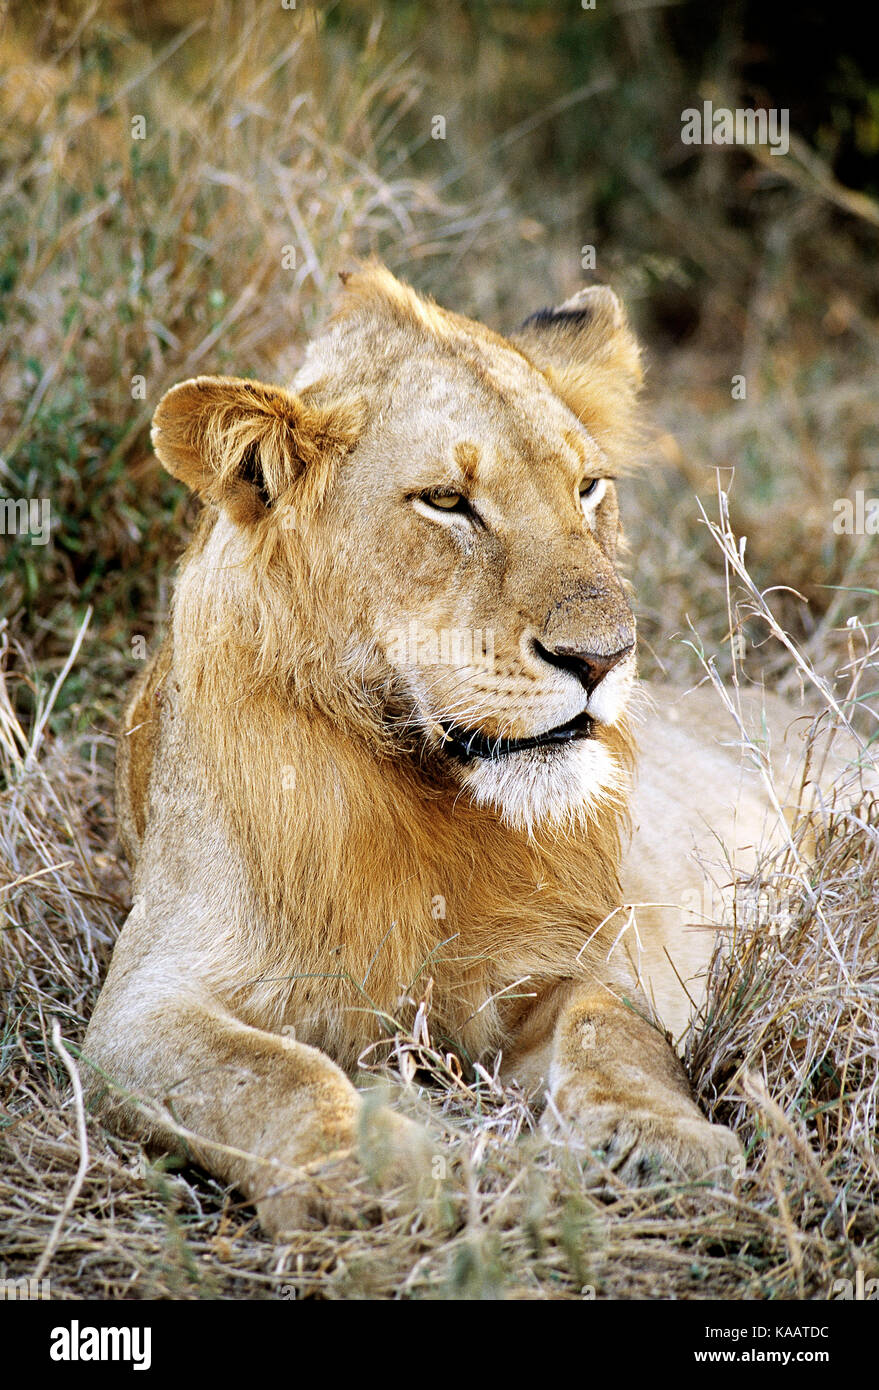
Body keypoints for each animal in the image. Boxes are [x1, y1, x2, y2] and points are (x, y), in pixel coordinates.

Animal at [84, 262, 821, 1234]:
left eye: (587, 488)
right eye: (446, 502)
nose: (605, 656)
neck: (420, 786)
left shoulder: (571, 962)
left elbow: (609, 1026)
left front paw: (664, 1140)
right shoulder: (140, 1002)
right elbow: (263, 1073)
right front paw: (374, 1165)